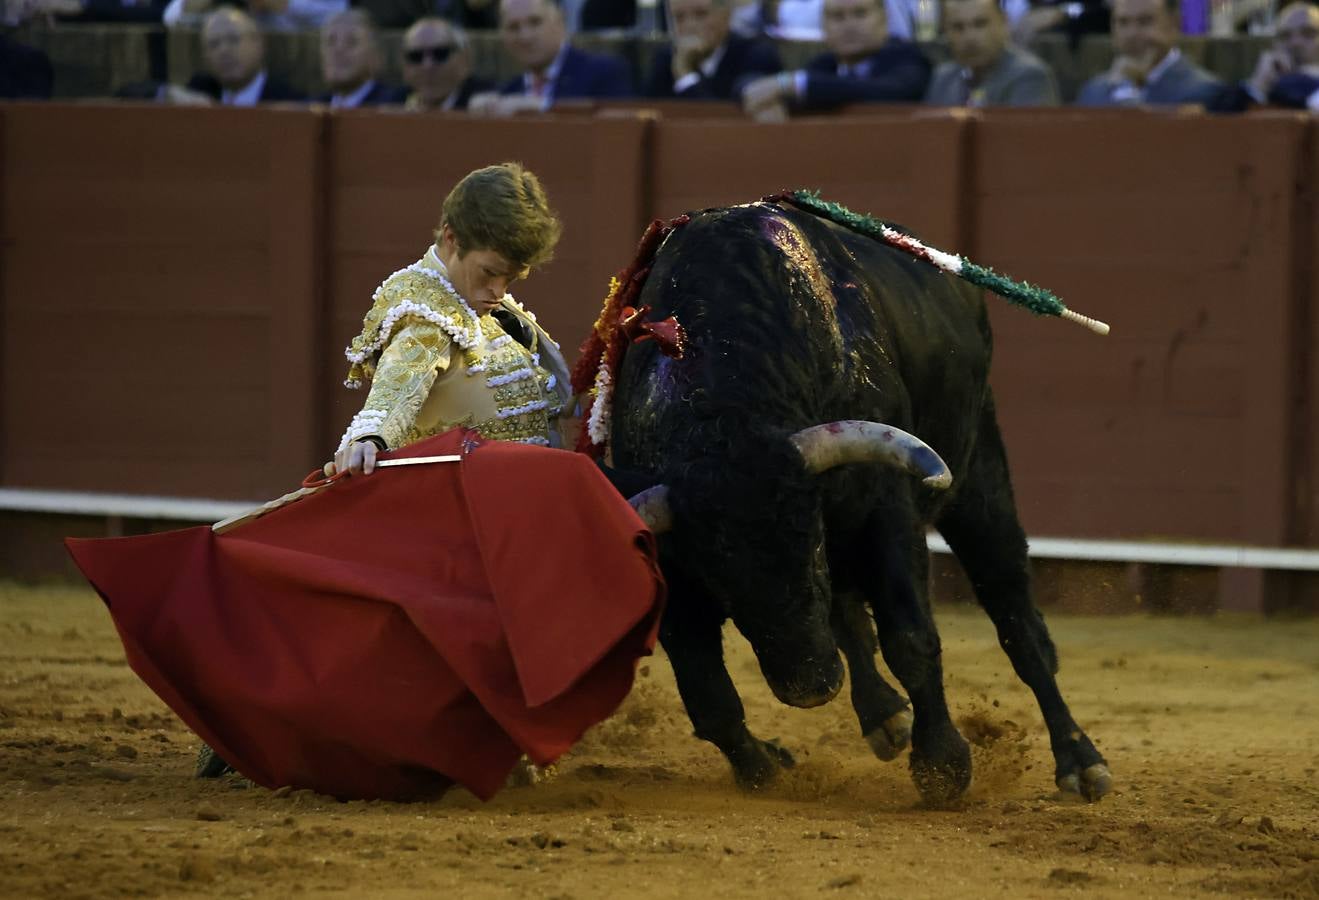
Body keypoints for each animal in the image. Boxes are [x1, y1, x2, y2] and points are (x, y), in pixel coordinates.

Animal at [588, 196, 1113, 797]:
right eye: (721, 581)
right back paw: (883, 715)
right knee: (849, 618)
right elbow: (708, 695)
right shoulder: (673, 560)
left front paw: (943, 766)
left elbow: (910, 637)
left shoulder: (887, 510)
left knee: (1016, 616)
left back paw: (1079, 761)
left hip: (979, 468)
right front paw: (762, 769)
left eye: (809, 544)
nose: (810, 686)